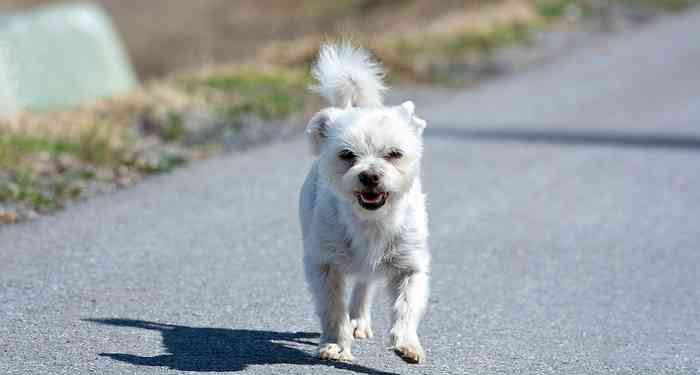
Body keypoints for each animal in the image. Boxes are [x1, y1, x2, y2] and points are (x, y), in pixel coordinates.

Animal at [298, 43, 430, 364]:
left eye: (394, 154)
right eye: (347, 155)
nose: (369, 175)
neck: (371, 222)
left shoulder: (410, 266)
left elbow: (406, 306)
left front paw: (407, 344)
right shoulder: (323, 265)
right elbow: (332, 309)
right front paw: (335, 343)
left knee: (363, 286)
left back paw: (359, 320)